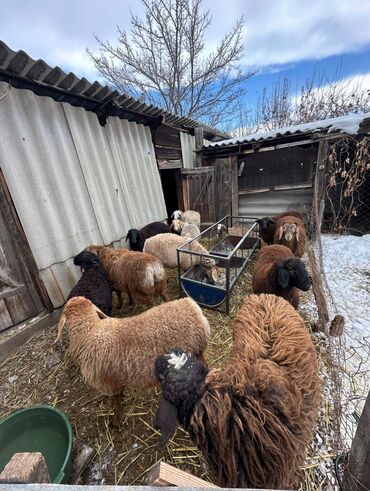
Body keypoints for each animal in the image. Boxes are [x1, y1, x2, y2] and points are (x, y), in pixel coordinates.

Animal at [55, 296, 211, 426]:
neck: (90, 331)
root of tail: (192, 306)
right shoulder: (115, 379)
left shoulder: (109, 381)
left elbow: (116, 400)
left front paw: (116, 421)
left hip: (195, 352)